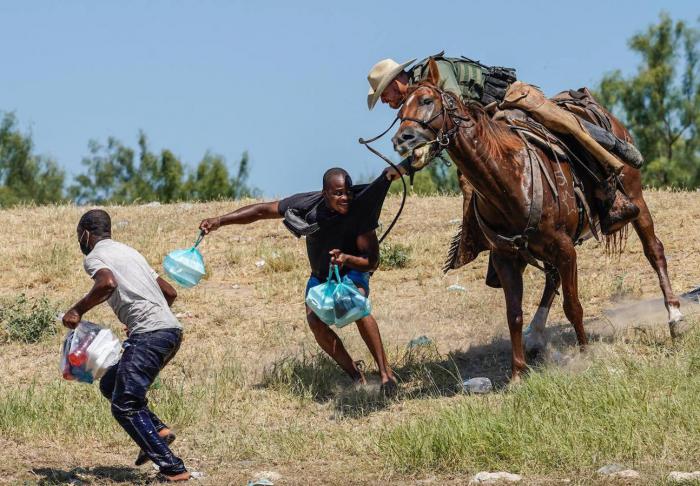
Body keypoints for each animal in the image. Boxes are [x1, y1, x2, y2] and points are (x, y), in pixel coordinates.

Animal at [391, 58, 683, 380]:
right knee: (552, 278)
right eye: (399, 110)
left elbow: (573, 306)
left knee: (654, 250)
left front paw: (585, 355)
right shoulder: (507, 257)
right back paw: (536, 334)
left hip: (635, 199)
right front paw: (518, 373)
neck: (509, 178)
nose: (401, 139)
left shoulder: (565, 249)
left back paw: (675, 317)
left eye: (427, 101)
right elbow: (514, 314)